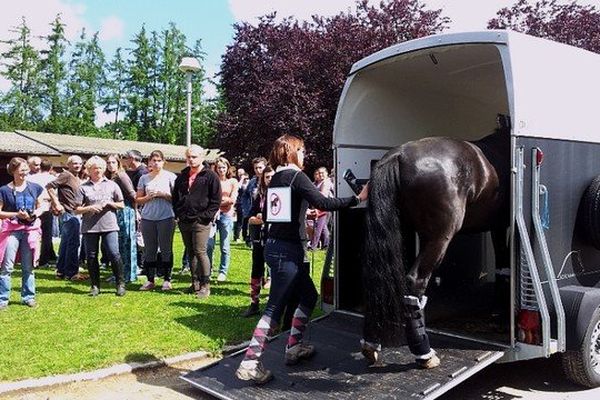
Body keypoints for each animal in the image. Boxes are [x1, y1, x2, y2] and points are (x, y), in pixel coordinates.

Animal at [360, 115, 510, 368]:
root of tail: (399, 155)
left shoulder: (498, 226)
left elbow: (503, 264)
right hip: (440, 237)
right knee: (415, 281)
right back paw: (424, 353)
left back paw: (372, 344)